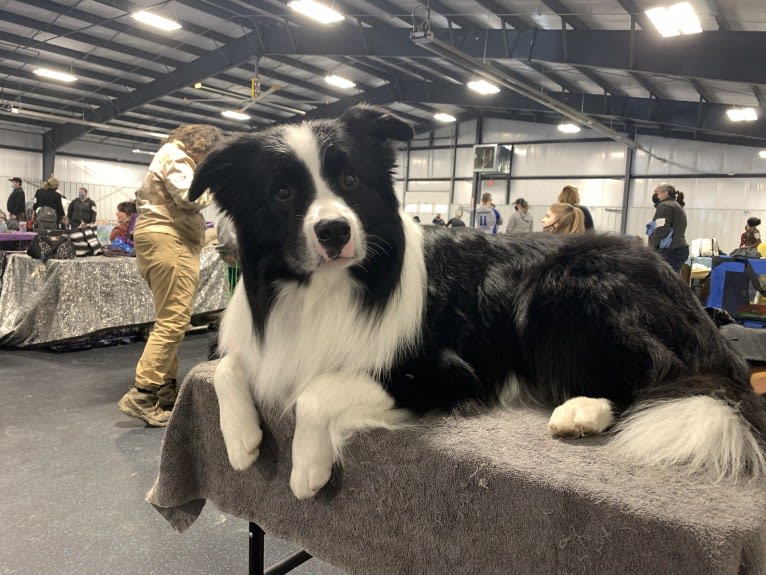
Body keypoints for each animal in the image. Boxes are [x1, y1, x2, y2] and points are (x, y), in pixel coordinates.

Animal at [188, 103, 766, 500]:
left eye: (350, 179)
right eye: (282, 192)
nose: (334, 231)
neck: (327, 288)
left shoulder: (444, 373)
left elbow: (317, 390)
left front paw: (307, 470)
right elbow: (226, 365)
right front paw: (241, 442)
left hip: (565, 288)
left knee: (657, 372)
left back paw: (581, 410)